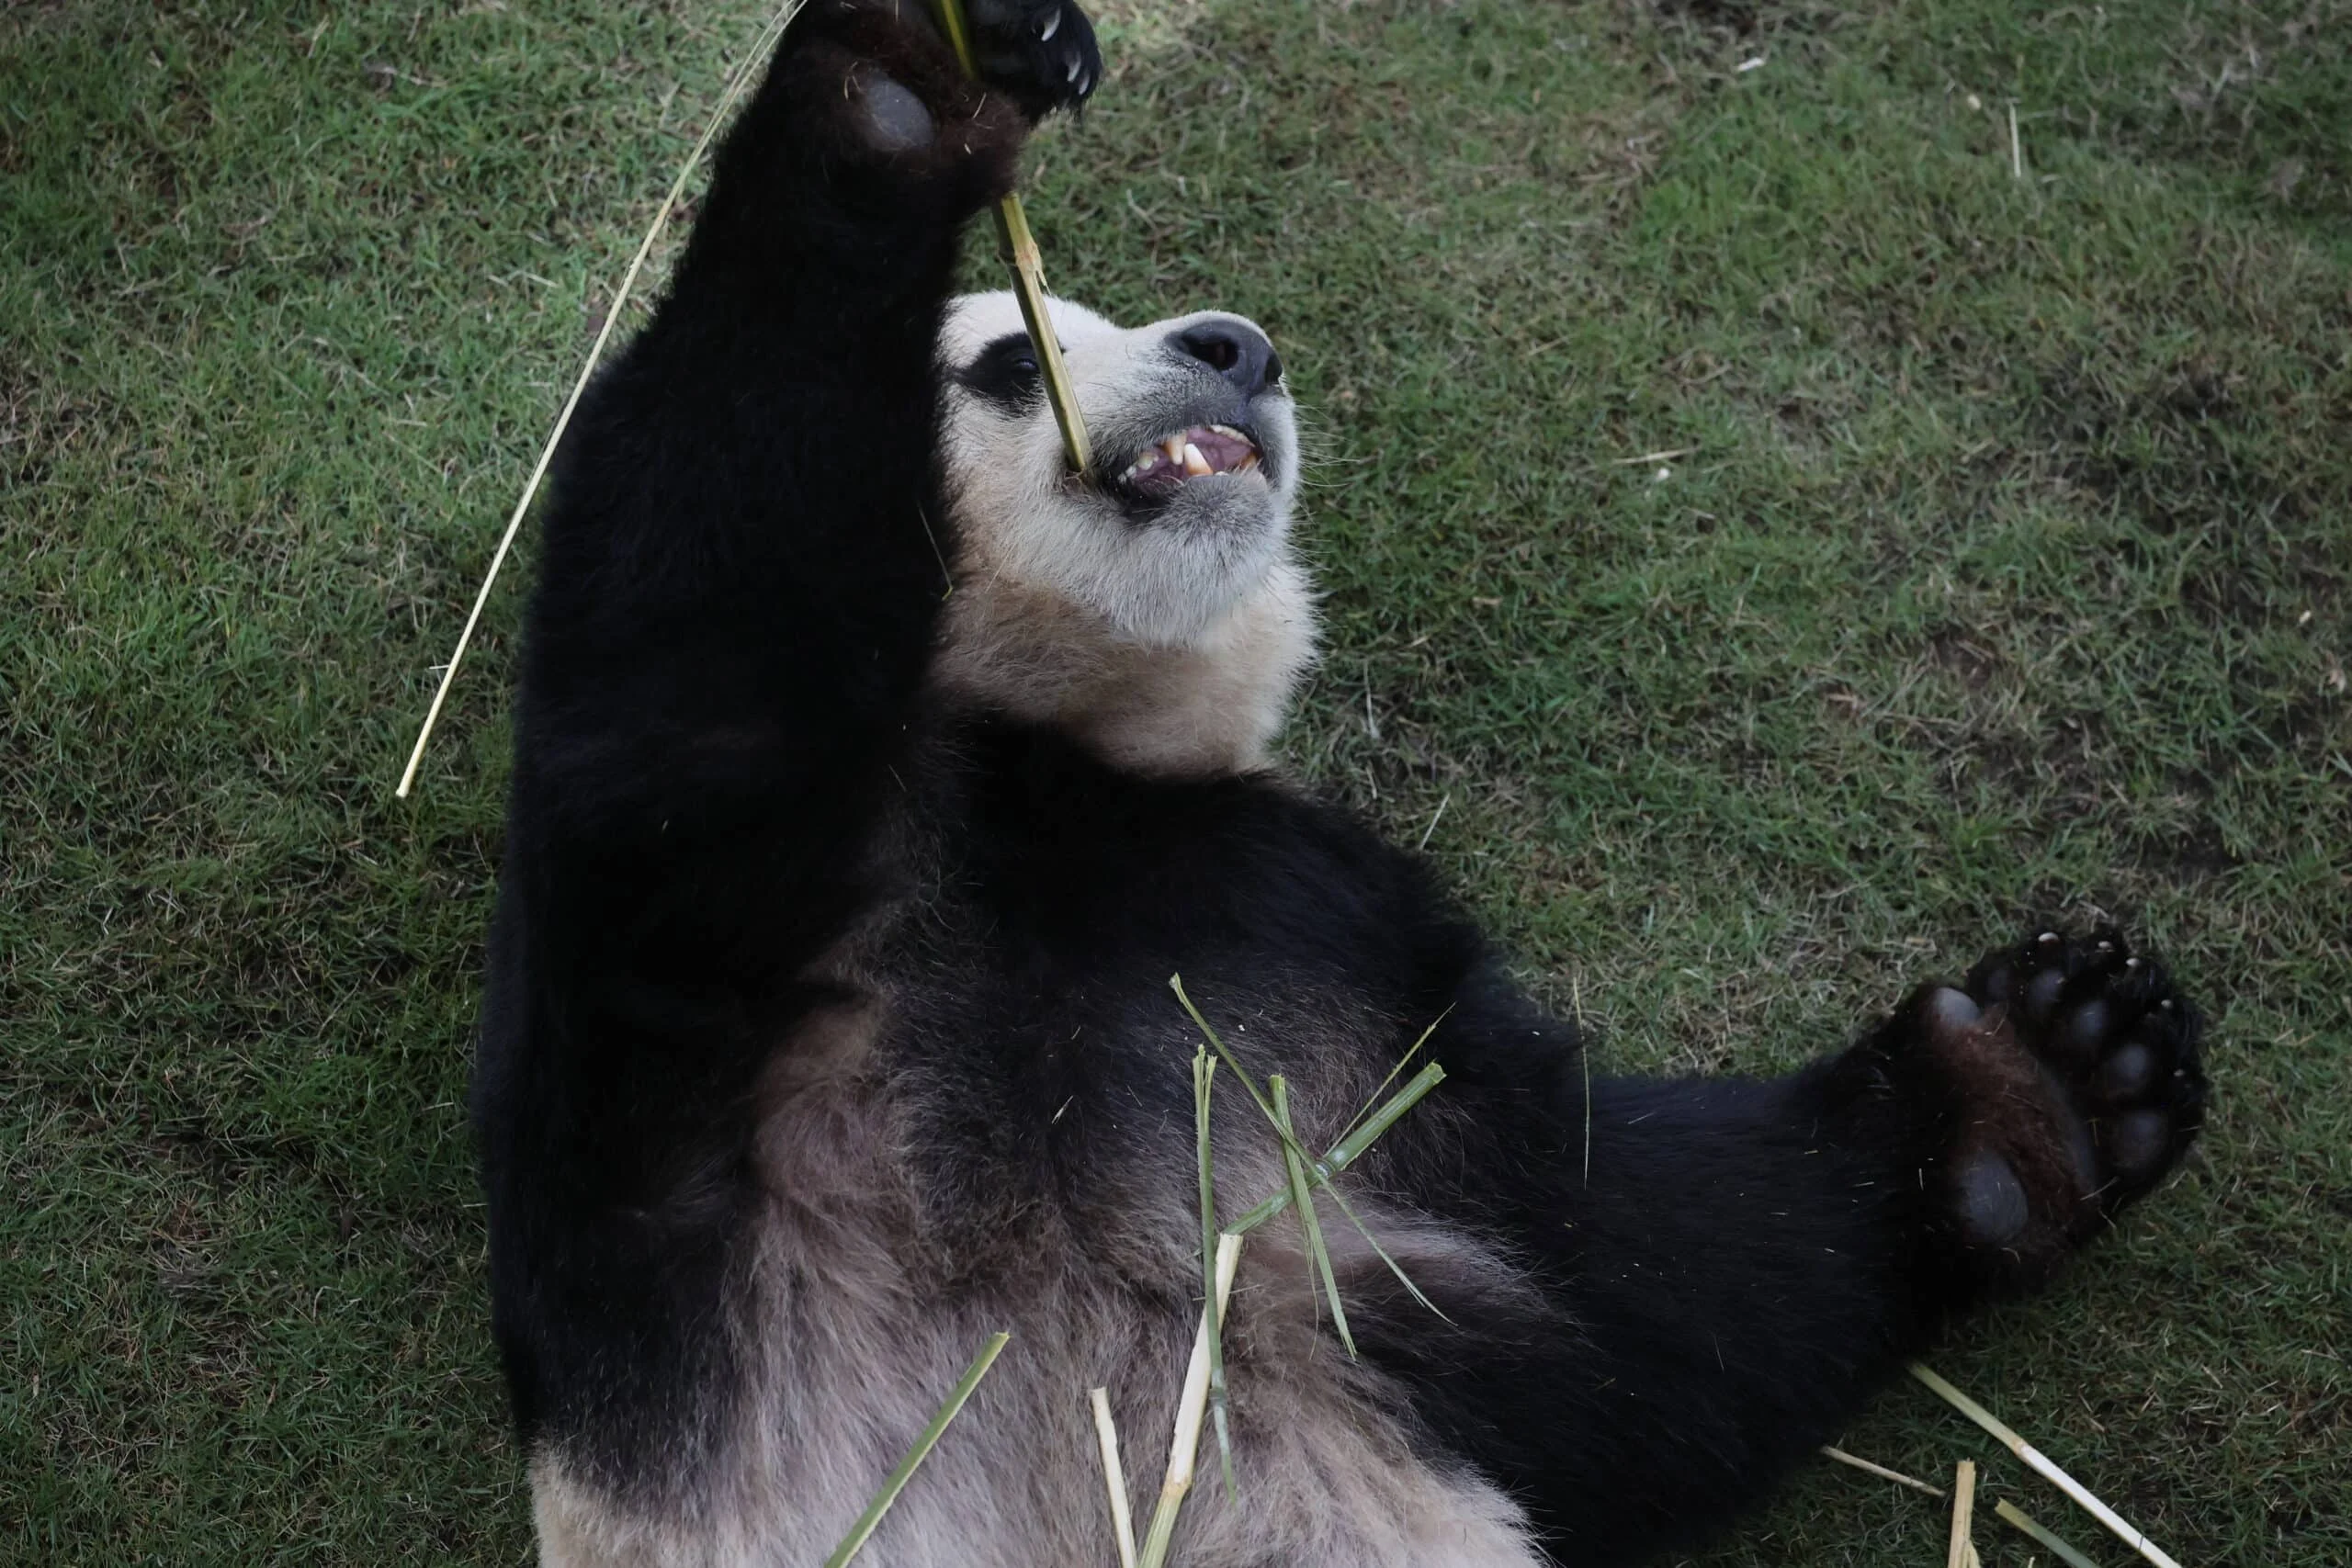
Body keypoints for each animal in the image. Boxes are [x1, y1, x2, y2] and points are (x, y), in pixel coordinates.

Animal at [474, 4, 2208, 1565]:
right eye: (1006, 360)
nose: (1235, 348)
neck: (1043, 751)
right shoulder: (705, 975)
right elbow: (698, 636)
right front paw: (903, 90)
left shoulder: (1322, 939)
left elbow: (1629, 1276)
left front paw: (2049, 1076)